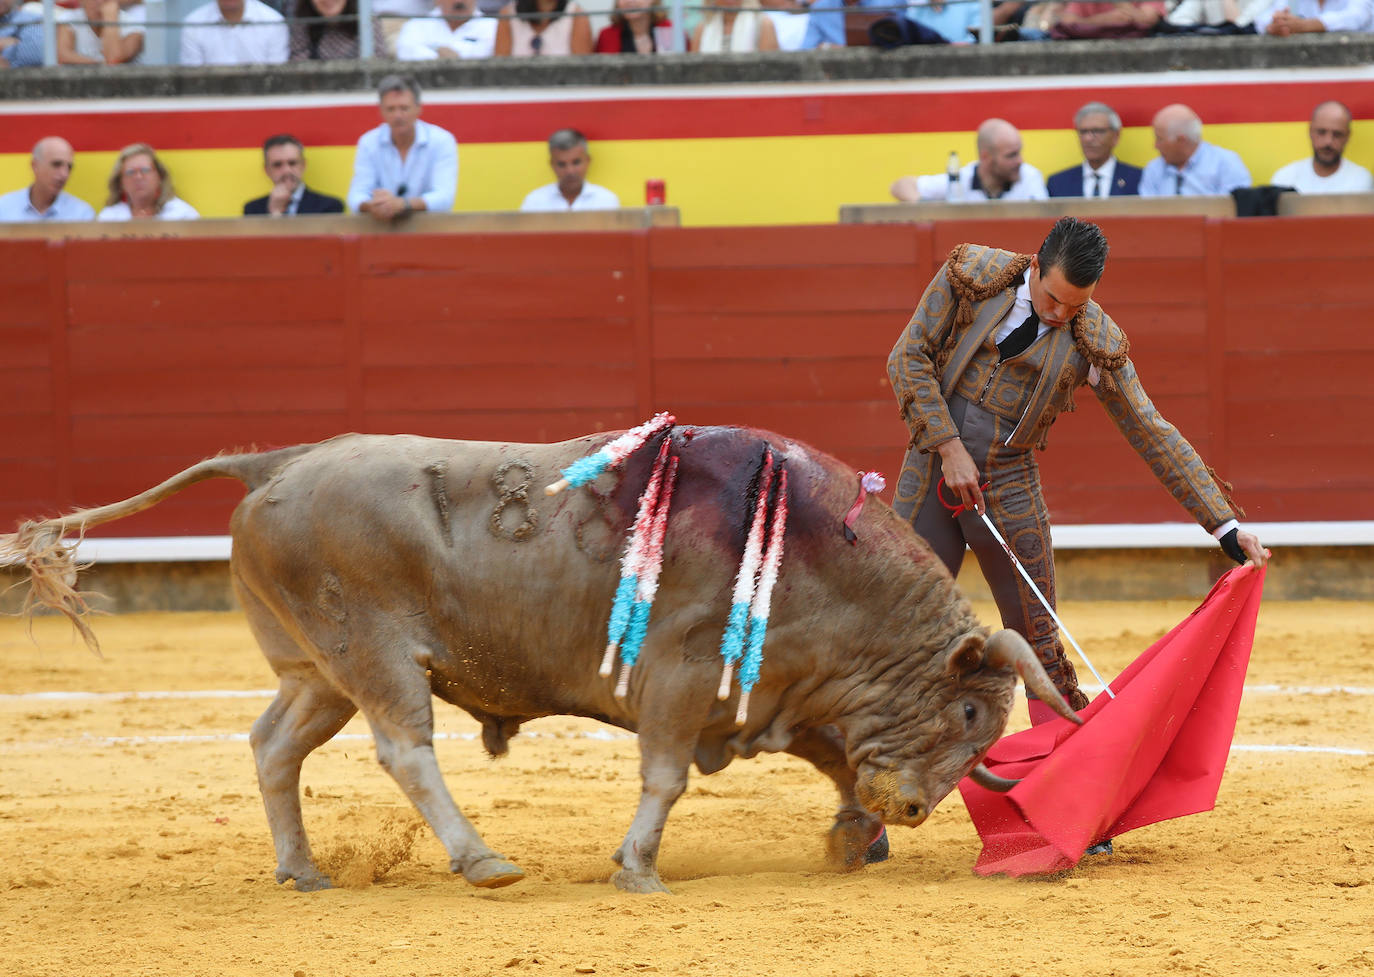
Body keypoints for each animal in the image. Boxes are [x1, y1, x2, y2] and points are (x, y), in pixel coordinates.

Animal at [0, 428, 1077, 895]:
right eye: (971, 715)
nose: (915, 809)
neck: (814, 554)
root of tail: (280, 461)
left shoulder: (781, 693)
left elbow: (834, 763)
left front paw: (850, 834)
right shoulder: (682, 677)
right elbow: (665, 775)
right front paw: (637, 867)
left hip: (316, 671)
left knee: (274, 745)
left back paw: (303, 867)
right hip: (374, 653)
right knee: (406, 749)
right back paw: (482, 859)